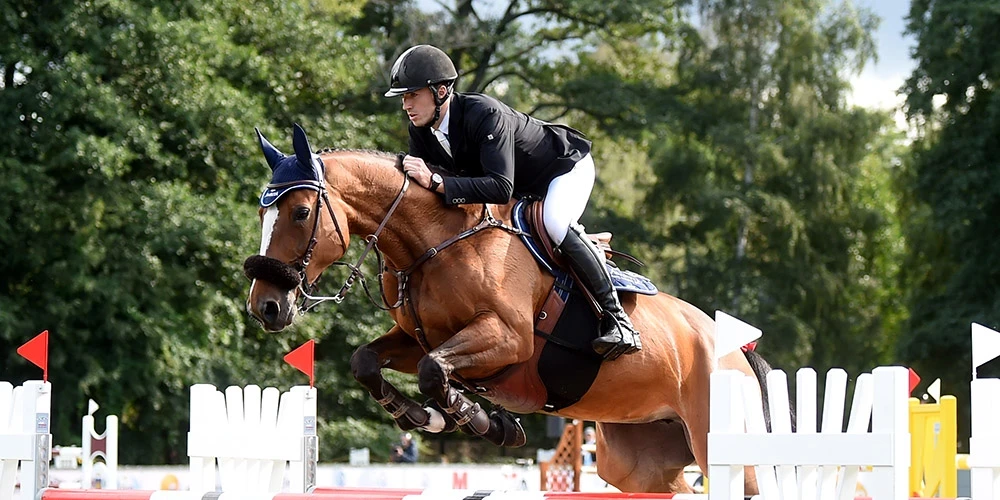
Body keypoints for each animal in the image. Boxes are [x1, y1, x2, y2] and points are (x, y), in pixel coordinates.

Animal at [244, 124, 772, 492]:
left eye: (301, 212)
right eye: (262, 213)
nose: (265, 307)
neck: (435, 243)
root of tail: (737, 351)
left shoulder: (506, 339)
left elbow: (435, 371)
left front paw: (479, 420)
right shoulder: (420, 338)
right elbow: (367, 361)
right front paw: (424, 417)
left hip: (726, 451)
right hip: (640, 461)